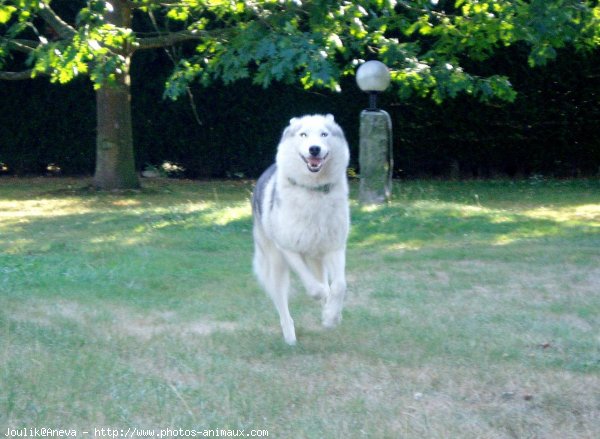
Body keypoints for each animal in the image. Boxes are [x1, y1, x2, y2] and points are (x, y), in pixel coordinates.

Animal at [251, 114, 350, 348]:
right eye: (303, 134)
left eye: (324, 134)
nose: (314, 149)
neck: (313, 191)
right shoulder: (288, 249)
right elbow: (315, 288)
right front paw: (325, 302)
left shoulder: (335, 247)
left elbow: (339, 285)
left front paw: (331, 316)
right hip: (276, 268)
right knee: (283, 308)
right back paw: (290, 337)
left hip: (317, 257)